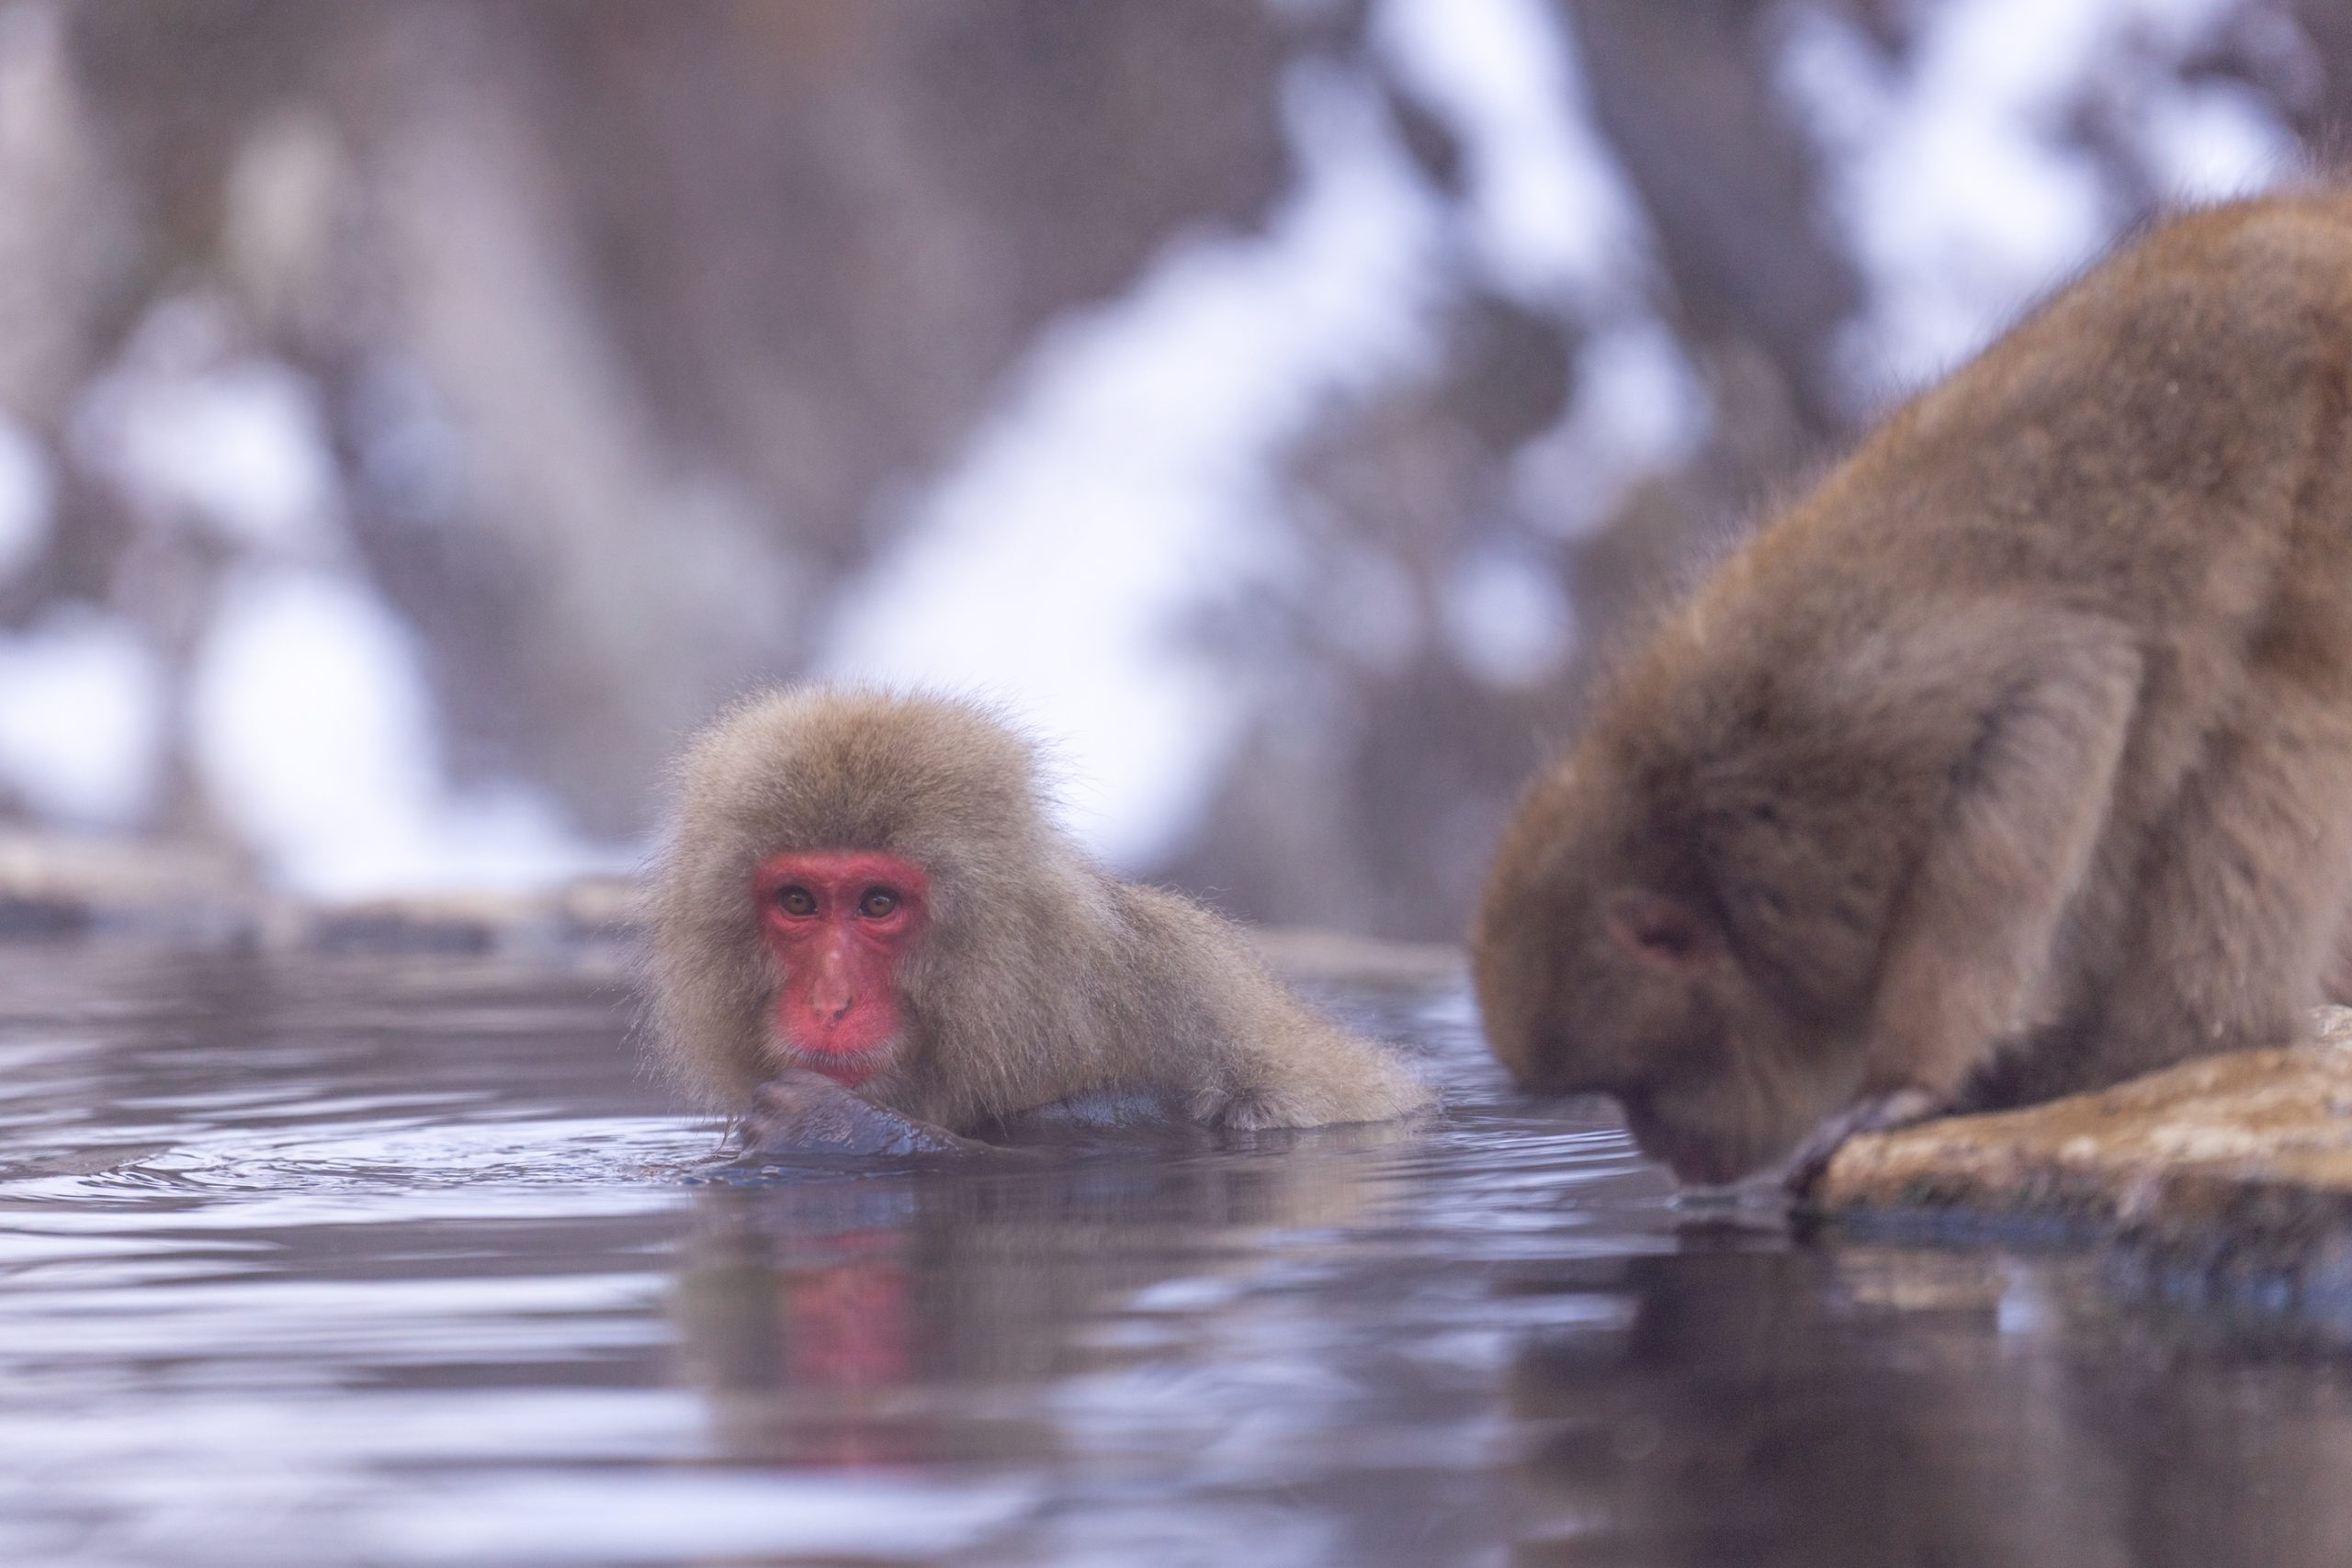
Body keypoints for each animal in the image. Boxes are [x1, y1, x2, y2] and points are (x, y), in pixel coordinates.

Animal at [1474, 192, 2352, 1190]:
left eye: (1636, 1085)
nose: (1656, 1146)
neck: (1701, 839)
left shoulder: (1842, 728)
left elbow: (2062, 691)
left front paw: (1911, 1082)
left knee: (2285, 694)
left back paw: (2171, 1040)